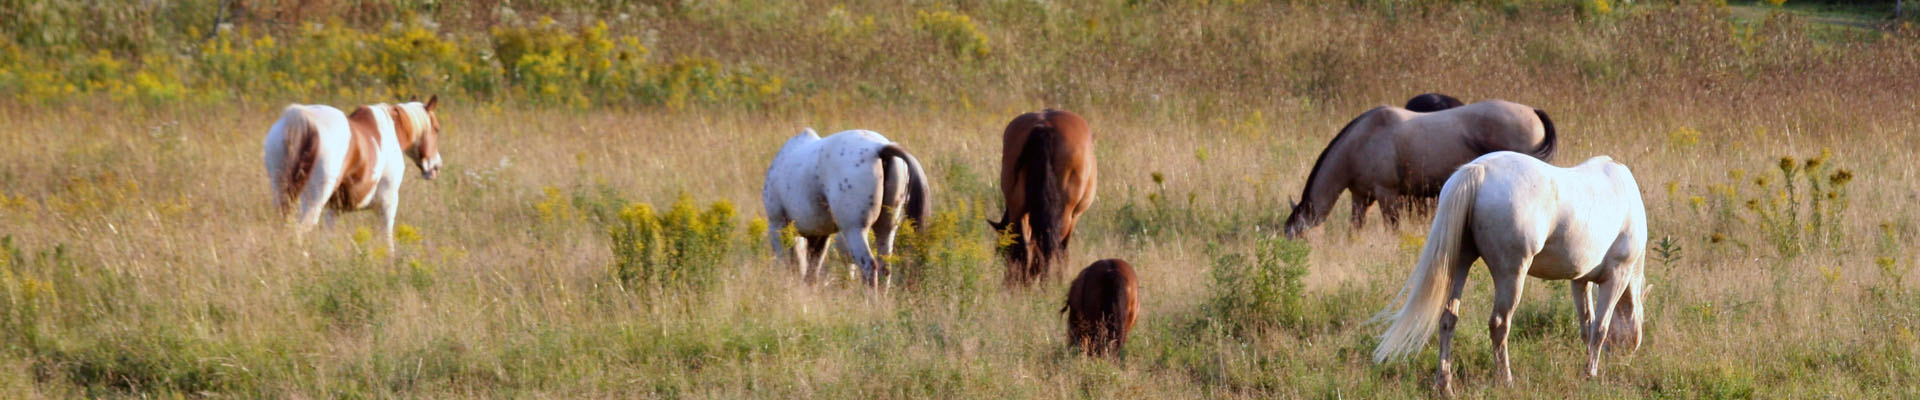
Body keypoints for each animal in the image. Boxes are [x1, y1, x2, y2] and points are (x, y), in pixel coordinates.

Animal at [264, 94, 443, 250]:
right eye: (436, 129)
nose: (436, 166)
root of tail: (300, 118)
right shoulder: (388, 201)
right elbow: (387, 239)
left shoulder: (334, 210)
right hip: (313, 201)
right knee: (299, 231)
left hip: (281, 193)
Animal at [764, 127, 929, 288]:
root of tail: (879, 148)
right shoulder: (819, 235)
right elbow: (811, 272)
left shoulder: (777, 225)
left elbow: (788, 264)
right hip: (886, 228)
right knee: (885, 267)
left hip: (855, 230)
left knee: (869, 266)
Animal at [990, 107, 1098, 286]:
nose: (1009, 282)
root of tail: (1043, 126)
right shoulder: (1074, 217)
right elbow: (1062, 250)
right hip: (1064, 213)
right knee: (1050, 245)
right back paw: (1045, 283)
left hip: (1017, 206)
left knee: (1025, 244)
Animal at [1274, 94, 1559, 239]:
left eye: (1297, 236)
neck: (1363, 140)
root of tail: (1533, 111)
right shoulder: (1360, 197)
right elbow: (1354, 229)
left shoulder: (1387, 195)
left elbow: (1393, 229)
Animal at [1367, 151, 1651, 396]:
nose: (1626, 355)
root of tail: (1479, 170)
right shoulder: (1617, 276)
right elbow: (1600, 328)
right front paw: (1590, 374)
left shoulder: (1579, 281)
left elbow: (1587, 325)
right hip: (1511, 274)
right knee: (1499, 324)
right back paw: (1506, 380)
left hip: (1460, 264)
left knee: (1448, 319)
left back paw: (1444, 385)